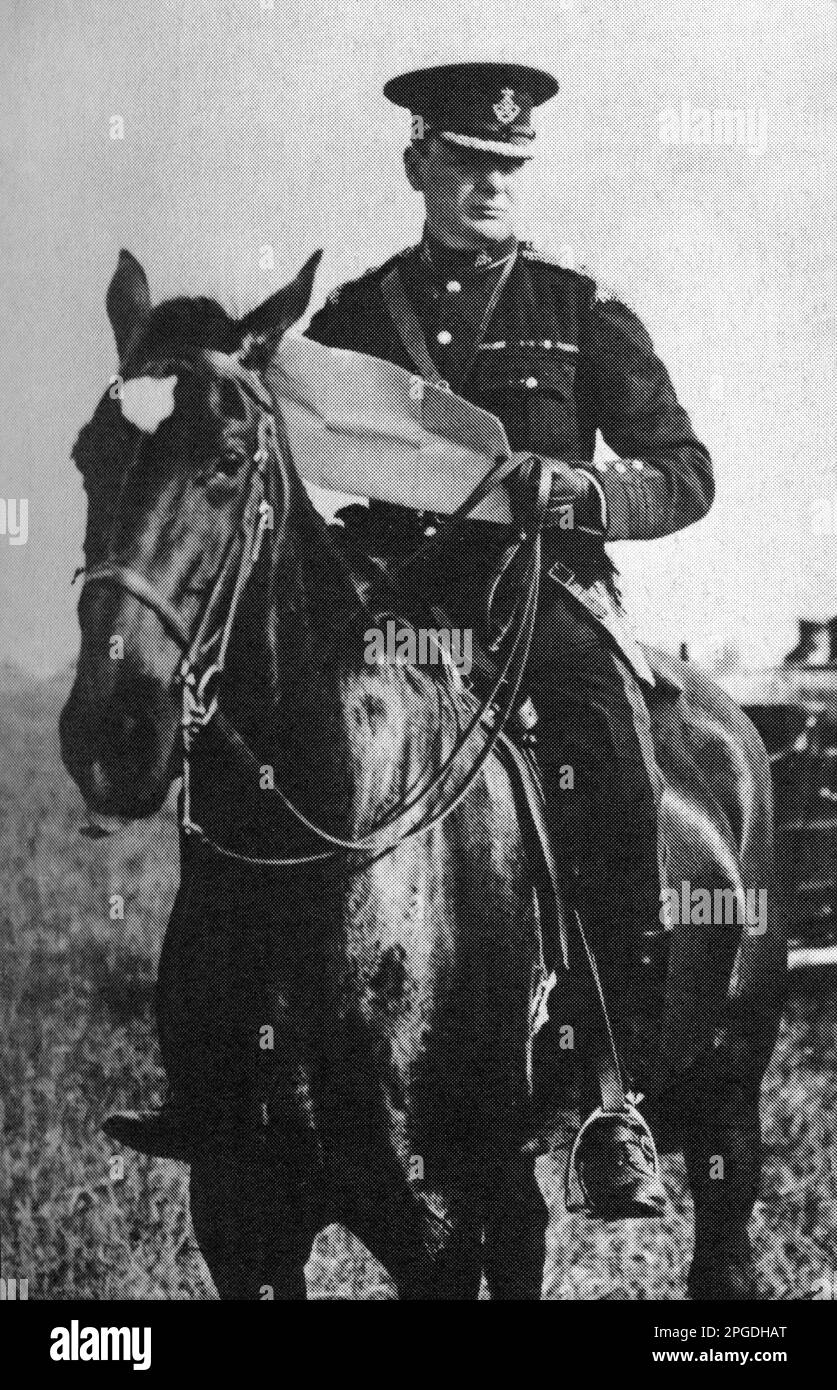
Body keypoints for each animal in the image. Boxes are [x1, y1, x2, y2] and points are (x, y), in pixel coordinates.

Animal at [61, 252, 784, 1301]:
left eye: (228, 461)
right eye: (88, 455)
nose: (111, 730)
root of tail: (736, 730)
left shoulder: (429, 1218)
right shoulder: (239, 1212)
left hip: (726, 1101)